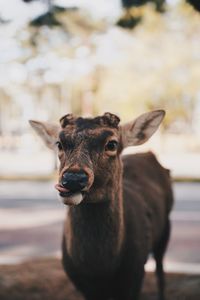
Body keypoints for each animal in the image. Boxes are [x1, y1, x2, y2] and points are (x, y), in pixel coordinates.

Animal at [29, 110, 173, 300]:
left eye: (112, 144)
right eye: (59, 143)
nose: (73, 179)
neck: (100, 269)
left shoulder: (135, 273)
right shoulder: (80, 281)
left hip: (166, 227)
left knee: (160, 271)